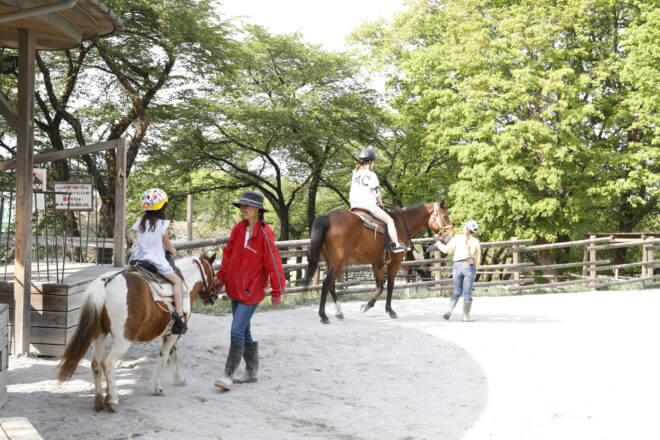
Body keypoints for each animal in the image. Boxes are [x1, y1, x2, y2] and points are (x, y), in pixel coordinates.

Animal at [57, 253, 217, 410]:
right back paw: (112, 399)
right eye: (213, 274)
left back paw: (99, 401)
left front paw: (178, 379)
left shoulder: (168, 334)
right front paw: (156, 387)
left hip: (99, 335)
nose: (213, 297)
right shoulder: (174, 334)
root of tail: (104, 284)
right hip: (123, 341)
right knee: (107, 363)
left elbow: (173, 354)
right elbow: (164, 358)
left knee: (96, 364)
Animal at [306, 203, 454, 324]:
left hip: (330, 261)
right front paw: (390, 311)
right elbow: (390, 285)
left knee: (331, 285)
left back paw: (339, 312)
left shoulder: (377, 263)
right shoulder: (395, 262)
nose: (451, 234)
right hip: (338, 262)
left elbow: (380, 287)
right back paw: (323, 315)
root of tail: (328, 217)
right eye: (445, 216)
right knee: (326, 283)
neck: (400, 224)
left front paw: (367, 306)